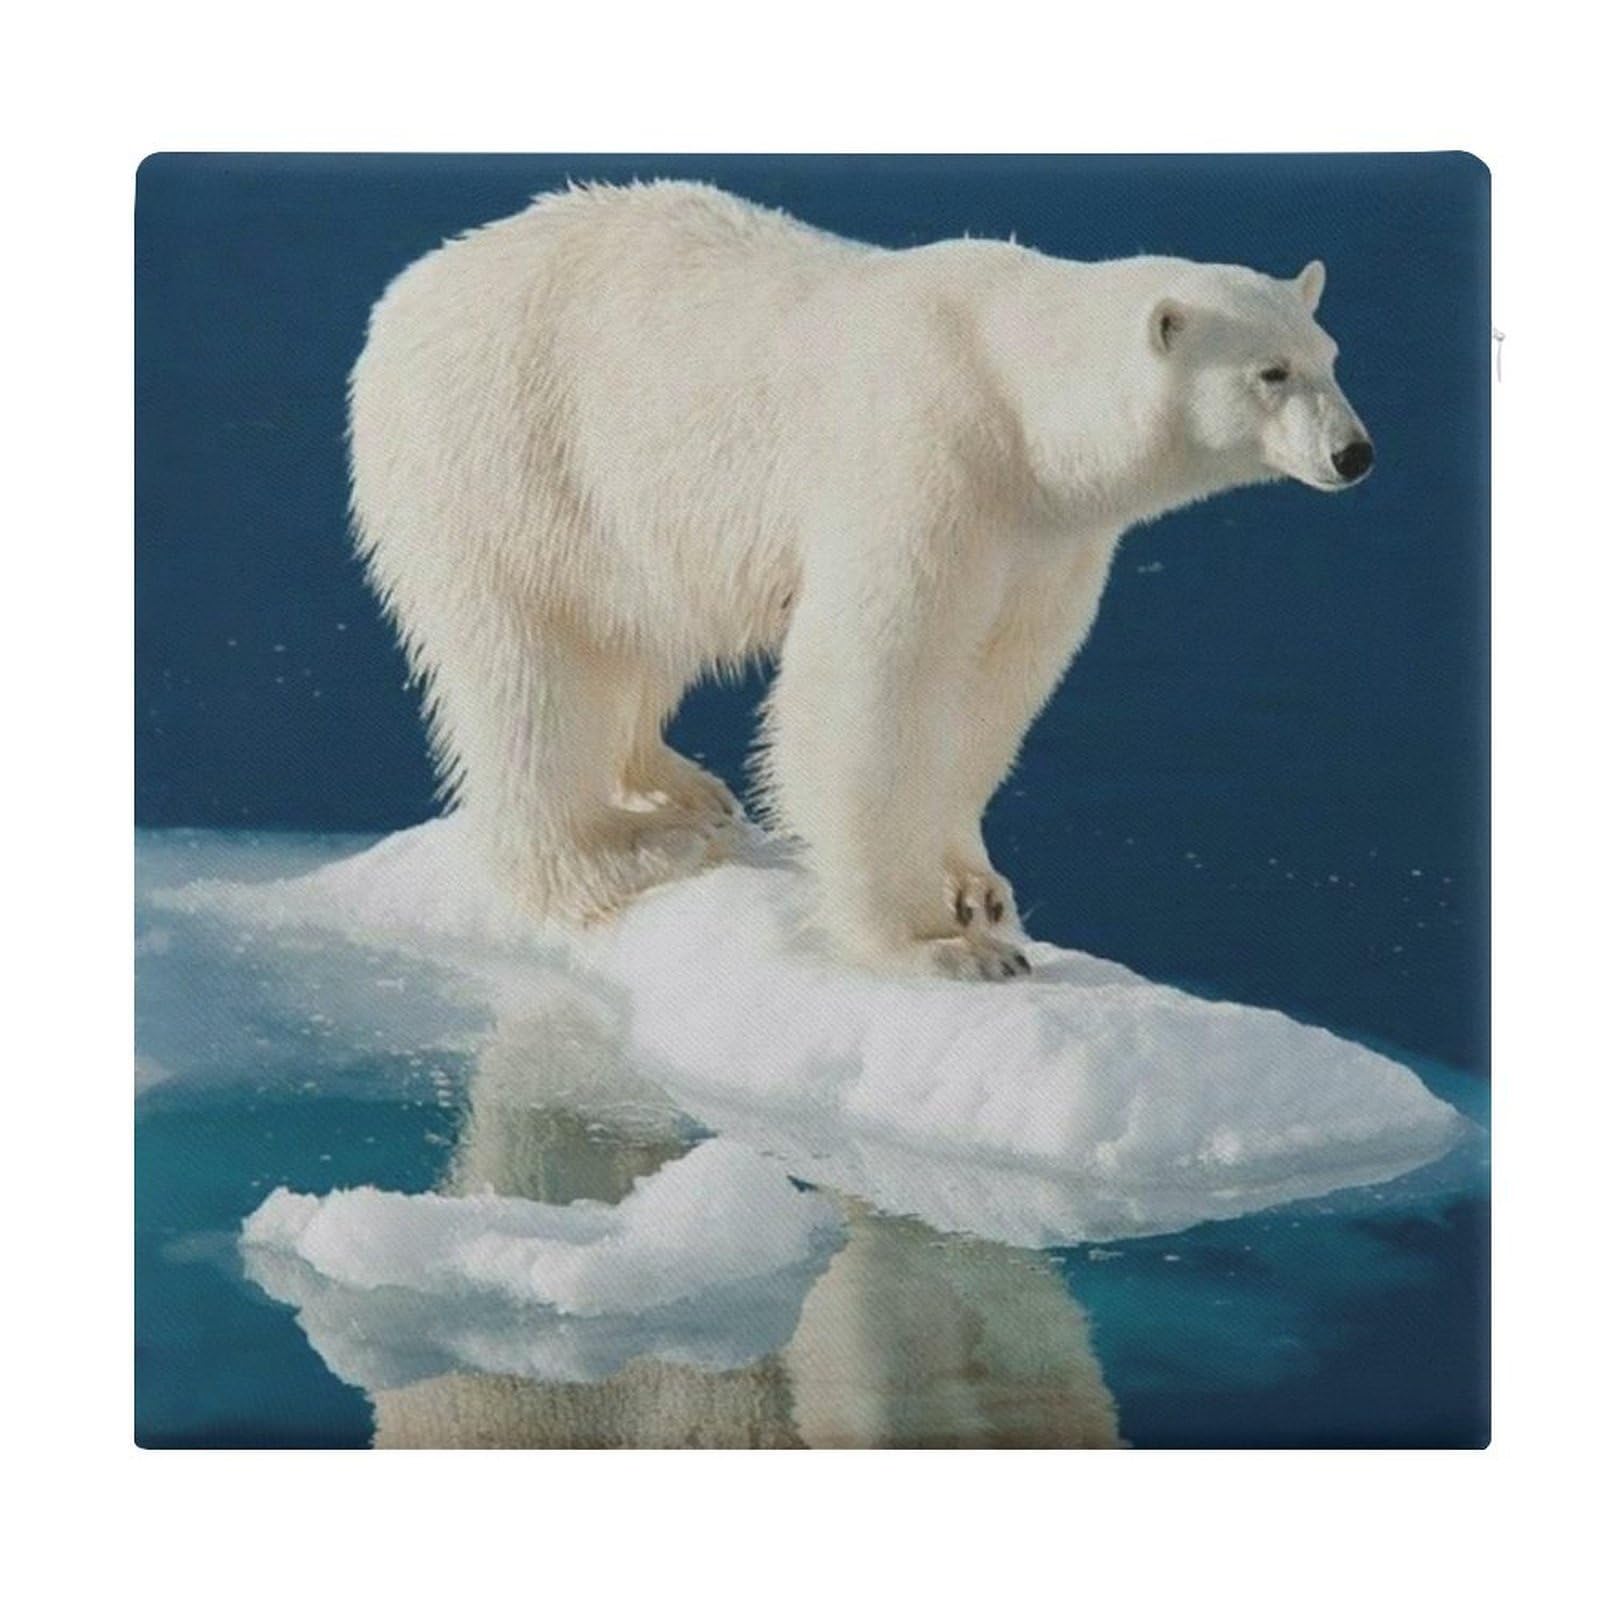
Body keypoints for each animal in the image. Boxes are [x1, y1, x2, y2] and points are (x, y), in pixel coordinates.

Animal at [348, 179, 1371, 980]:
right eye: (1270, 372)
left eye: (1331, 358)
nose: (1354, 454)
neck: (1016, 401)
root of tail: (404, 294)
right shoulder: (929, 463)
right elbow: (874, 683)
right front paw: (941, 945)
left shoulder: (1047, 539)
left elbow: (996, 685)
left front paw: (975, 887)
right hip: (505, 454)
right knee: (533, 671)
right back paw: (628, 853)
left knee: (641, 630)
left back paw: (680, 786)